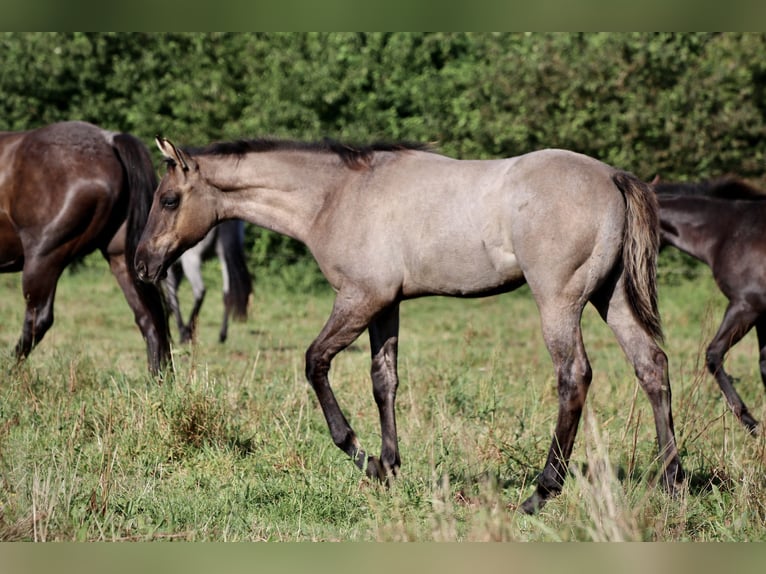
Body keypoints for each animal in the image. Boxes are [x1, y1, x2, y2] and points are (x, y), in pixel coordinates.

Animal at [134, 138, 684, 512]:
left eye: (168, 200)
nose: (141, 264)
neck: (337, 196)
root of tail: (613, 176)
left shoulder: (360, 297)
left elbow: (315, 363)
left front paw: (362, 456)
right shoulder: (385, 305)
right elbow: (384, 380)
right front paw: (389, 465)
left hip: (560, 301)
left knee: (574, 377)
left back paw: (541, 492)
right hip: (611, 296)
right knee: (651, 365)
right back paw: (672, 480)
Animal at [656, 177, 766, 436]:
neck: (726, 232)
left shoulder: (746, 306)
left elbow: (713, 355)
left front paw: (752, 424)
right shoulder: (763, 315)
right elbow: (764, 365)